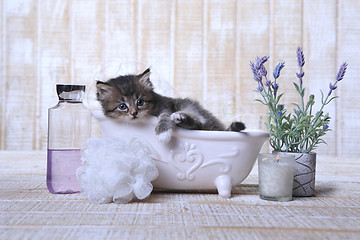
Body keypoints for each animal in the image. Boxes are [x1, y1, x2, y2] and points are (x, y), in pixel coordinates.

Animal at [96, 67, 245, 142]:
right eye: (122, 106)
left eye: (140, 102)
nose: (134, 113)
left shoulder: (166, 105)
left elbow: (164, 116)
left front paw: (163, 132)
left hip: (187, 105)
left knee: (199, 123)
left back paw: (180, 117)